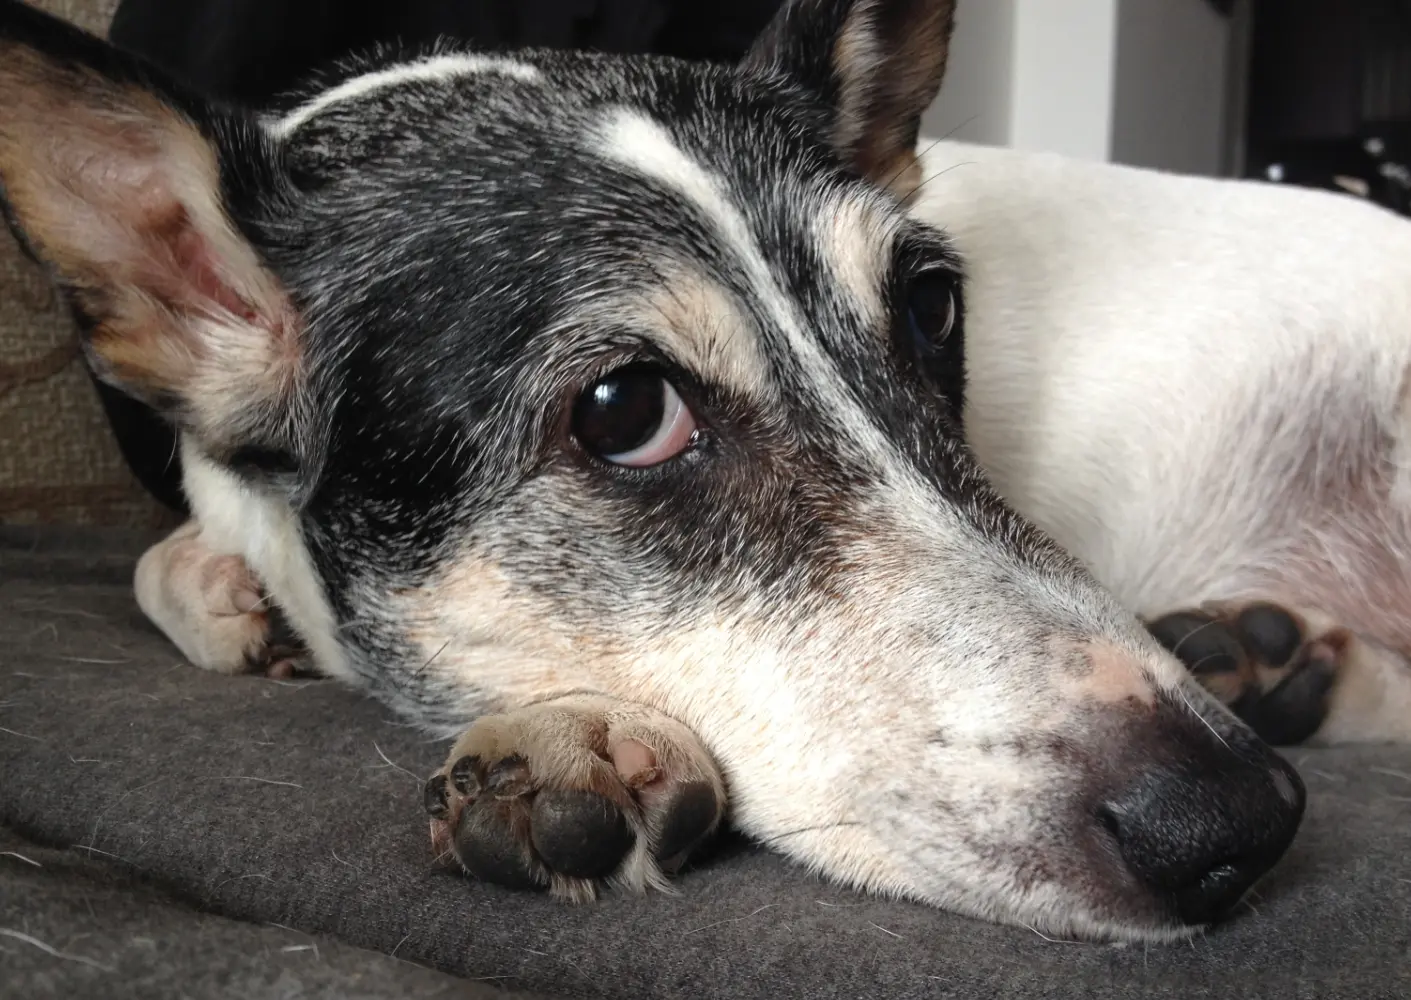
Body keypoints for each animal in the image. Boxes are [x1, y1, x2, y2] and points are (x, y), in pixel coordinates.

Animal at [5, 0, 1405, 942]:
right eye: (625, 410)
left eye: (932, 310)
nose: (1237, 824)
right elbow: (162, 556)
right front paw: (235, 601)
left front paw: (570, 732)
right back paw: (1269, 658)